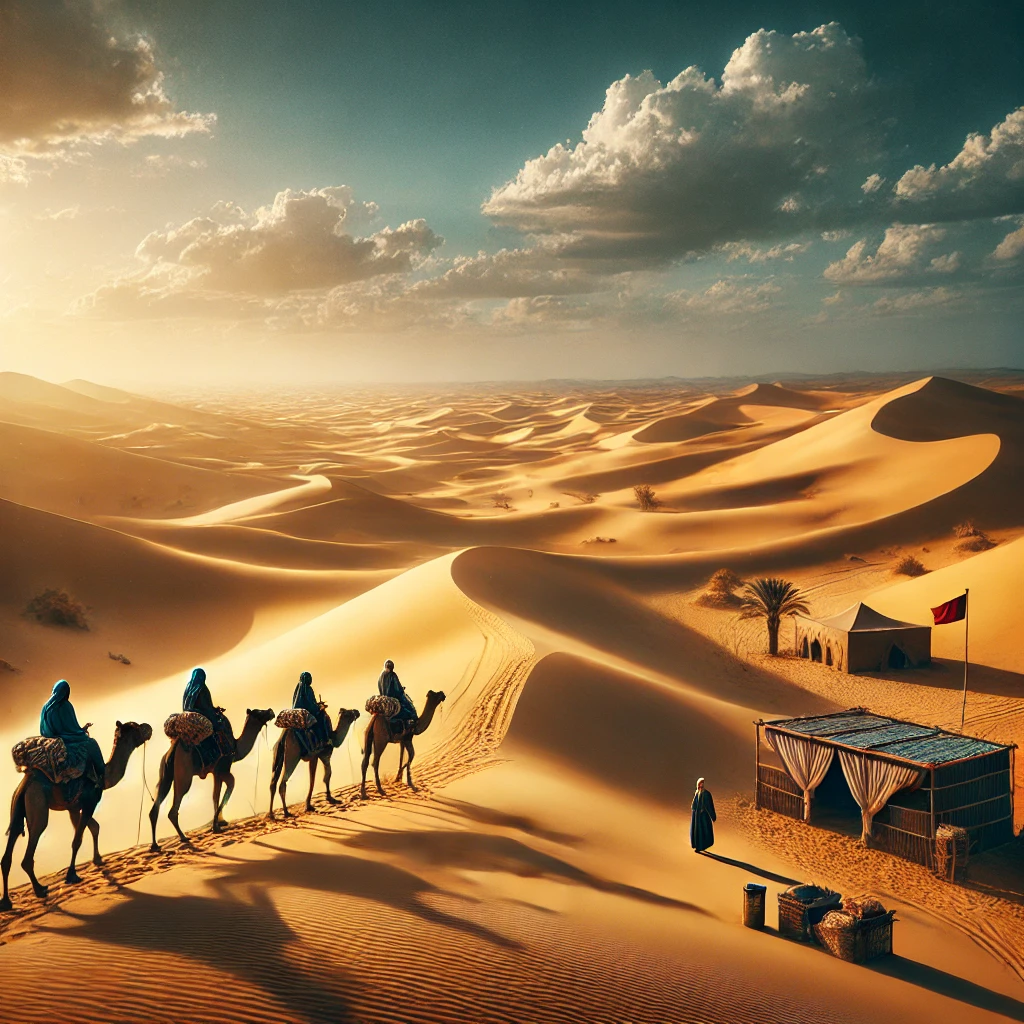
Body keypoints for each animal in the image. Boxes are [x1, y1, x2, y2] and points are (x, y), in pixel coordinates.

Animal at [1, 720, 151, 913]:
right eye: (134, 727)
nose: (148, 728)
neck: (104, 776)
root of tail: (26, 784)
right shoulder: (89, 802)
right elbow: (78, 839)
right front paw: (72, 875)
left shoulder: (73, 808)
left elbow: (93, 828)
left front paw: (98, 859)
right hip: (38, 805)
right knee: (30, 848)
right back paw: (40, 890)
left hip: (17, 807)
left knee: (9, 849)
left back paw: (6, 901)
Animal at [148, 708, 274, 851]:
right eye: (259, 712)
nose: (270, 711)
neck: (236, 748)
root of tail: (173, 750)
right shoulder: (222, 769)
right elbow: (229, 785)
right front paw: (216, 826)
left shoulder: (215, 773)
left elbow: (215, 796)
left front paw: (219, 823)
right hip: (184, 775)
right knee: (173, 809)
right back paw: (183, 837)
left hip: (165, 775)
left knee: (155, 808)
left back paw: (155, 845)